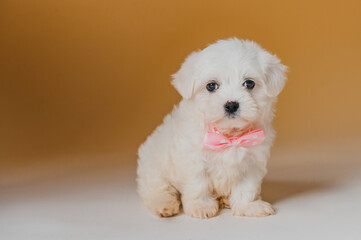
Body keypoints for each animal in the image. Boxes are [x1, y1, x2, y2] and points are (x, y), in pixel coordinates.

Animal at [136, 38, 286, 219]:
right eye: (211, 86)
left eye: (249, 83)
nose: (231, 104)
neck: (229, 136)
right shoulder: (193, 160)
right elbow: (198, 185)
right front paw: (201, 206)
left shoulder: (252, 162)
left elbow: (246, 188)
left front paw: (249, 206)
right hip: (154, 169)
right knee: (156, 189)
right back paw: (164, 205)